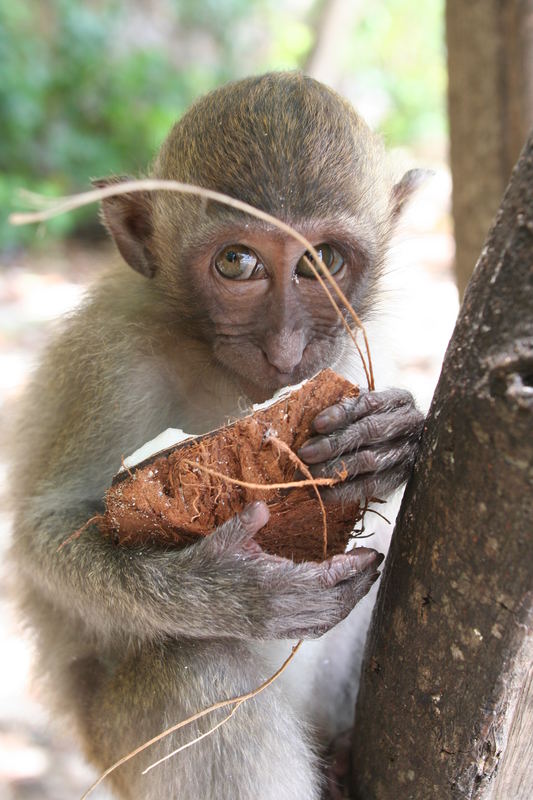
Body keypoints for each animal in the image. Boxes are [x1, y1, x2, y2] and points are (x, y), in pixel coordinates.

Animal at [8, 72, 424, 796]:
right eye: (237, 262)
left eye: (323, 261)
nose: (285, 347)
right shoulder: (113, 356)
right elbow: (47, 534)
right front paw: (234, 595)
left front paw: (384, 435)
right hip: (119, 748)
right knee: (196, 674)